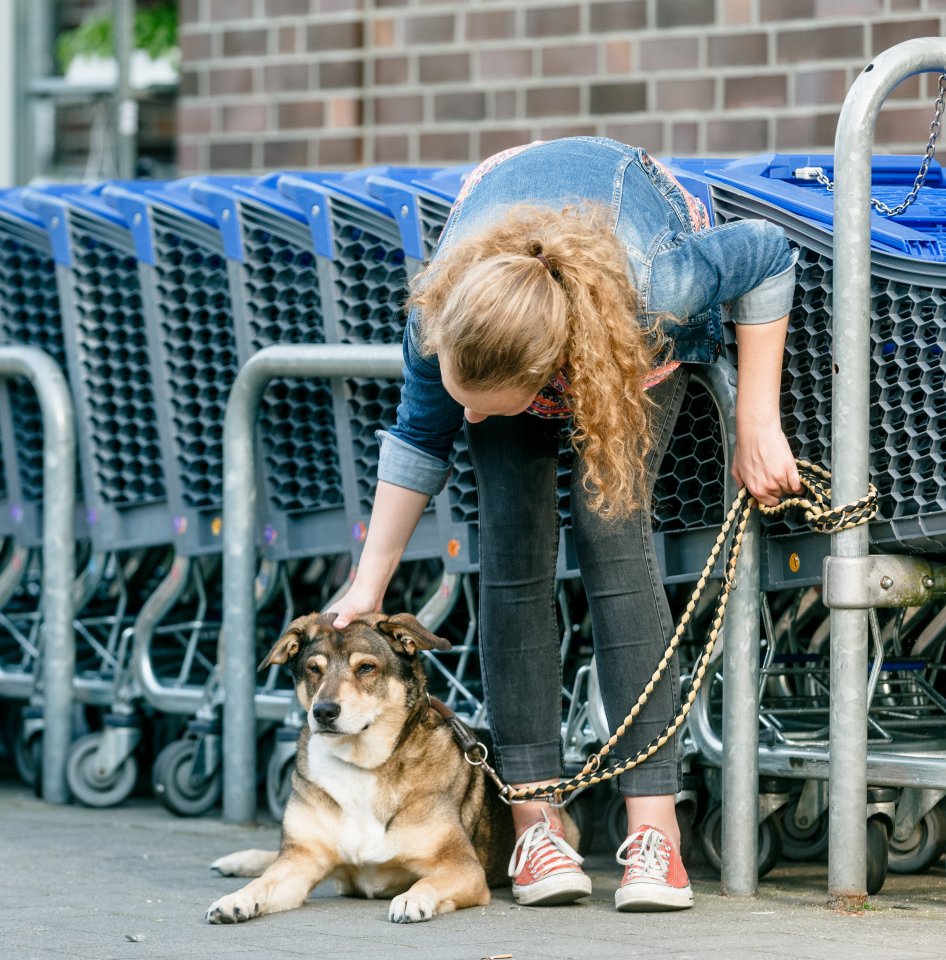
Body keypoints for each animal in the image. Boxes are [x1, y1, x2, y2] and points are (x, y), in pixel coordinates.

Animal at [204, 616, 528, 924]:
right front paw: (236, 899)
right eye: (313, 669)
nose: (323, 711)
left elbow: (426, 883)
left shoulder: (464, 868)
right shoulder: (302, 859)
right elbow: (265, 882)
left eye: (366, 668)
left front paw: (412, 899)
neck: (359, 763)